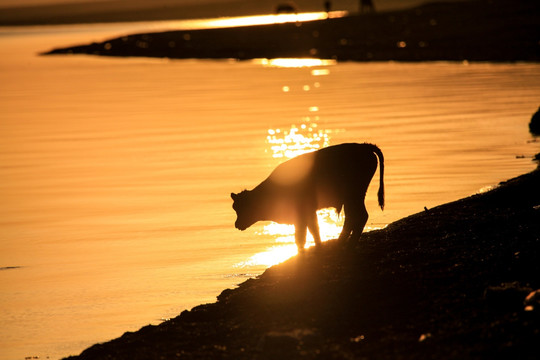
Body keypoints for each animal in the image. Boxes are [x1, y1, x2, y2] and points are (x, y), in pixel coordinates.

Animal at [231, 143, 384, 250]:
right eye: (235, 207)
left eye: (243, 207)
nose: (237, 224)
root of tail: (364, 146)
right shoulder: (307, 215)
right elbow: (311, 231)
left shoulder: (303, 215)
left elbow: (303, 235)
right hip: (352, 199)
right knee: (353, 218)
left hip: (354, 196)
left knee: (358, 217)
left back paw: (347, 245)